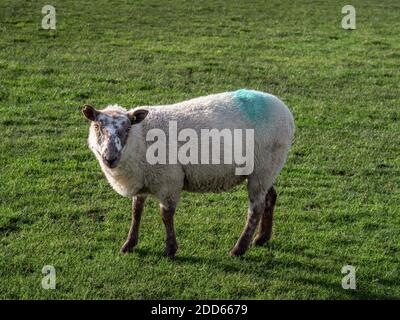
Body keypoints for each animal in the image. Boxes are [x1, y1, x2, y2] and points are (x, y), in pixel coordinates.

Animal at [81, 89, 294, 258]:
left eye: (126, 128)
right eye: (98, 126)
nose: (110, 158)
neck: (140, 138)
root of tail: (284, 109)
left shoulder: (169, 181)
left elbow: (166, 215)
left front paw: (170, 250)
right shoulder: (142, 179)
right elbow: (136, 212)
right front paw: (129, 244)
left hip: (263, 168)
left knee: (256, 208)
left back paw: (238, 249)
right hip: (266, 169)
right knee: (271, 197)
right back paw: (261, 238)